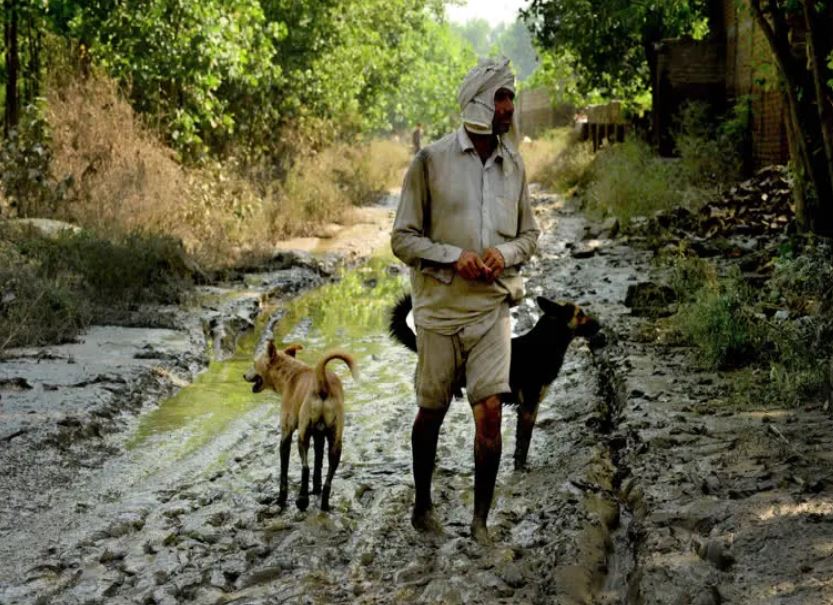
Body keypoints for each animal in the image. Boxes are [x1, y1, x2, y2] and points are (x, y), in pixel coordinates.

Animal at [242, 340, 356, 510]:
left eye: (254, 364)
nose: (243, 375)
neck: (291, 374)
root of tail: (322, 383)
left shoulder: (286, 434)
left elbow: (284, 470)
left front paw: (281, 499)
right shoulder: (319, 436)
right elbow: (318, 463)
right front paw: (316, 489)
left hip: (302, 436)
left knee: (305, 467)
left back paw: (302, 500)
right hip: (336, 441)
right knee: (328, 474)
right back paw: (324, 503)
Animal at [386, 294, 600, 470]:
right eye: (581, 314)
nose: (599, 324)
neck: (546, 342)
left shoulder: (527, 407)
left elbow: (521, 441)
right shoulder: (529, 406)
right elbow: (524, 441)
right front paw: (521, 468)